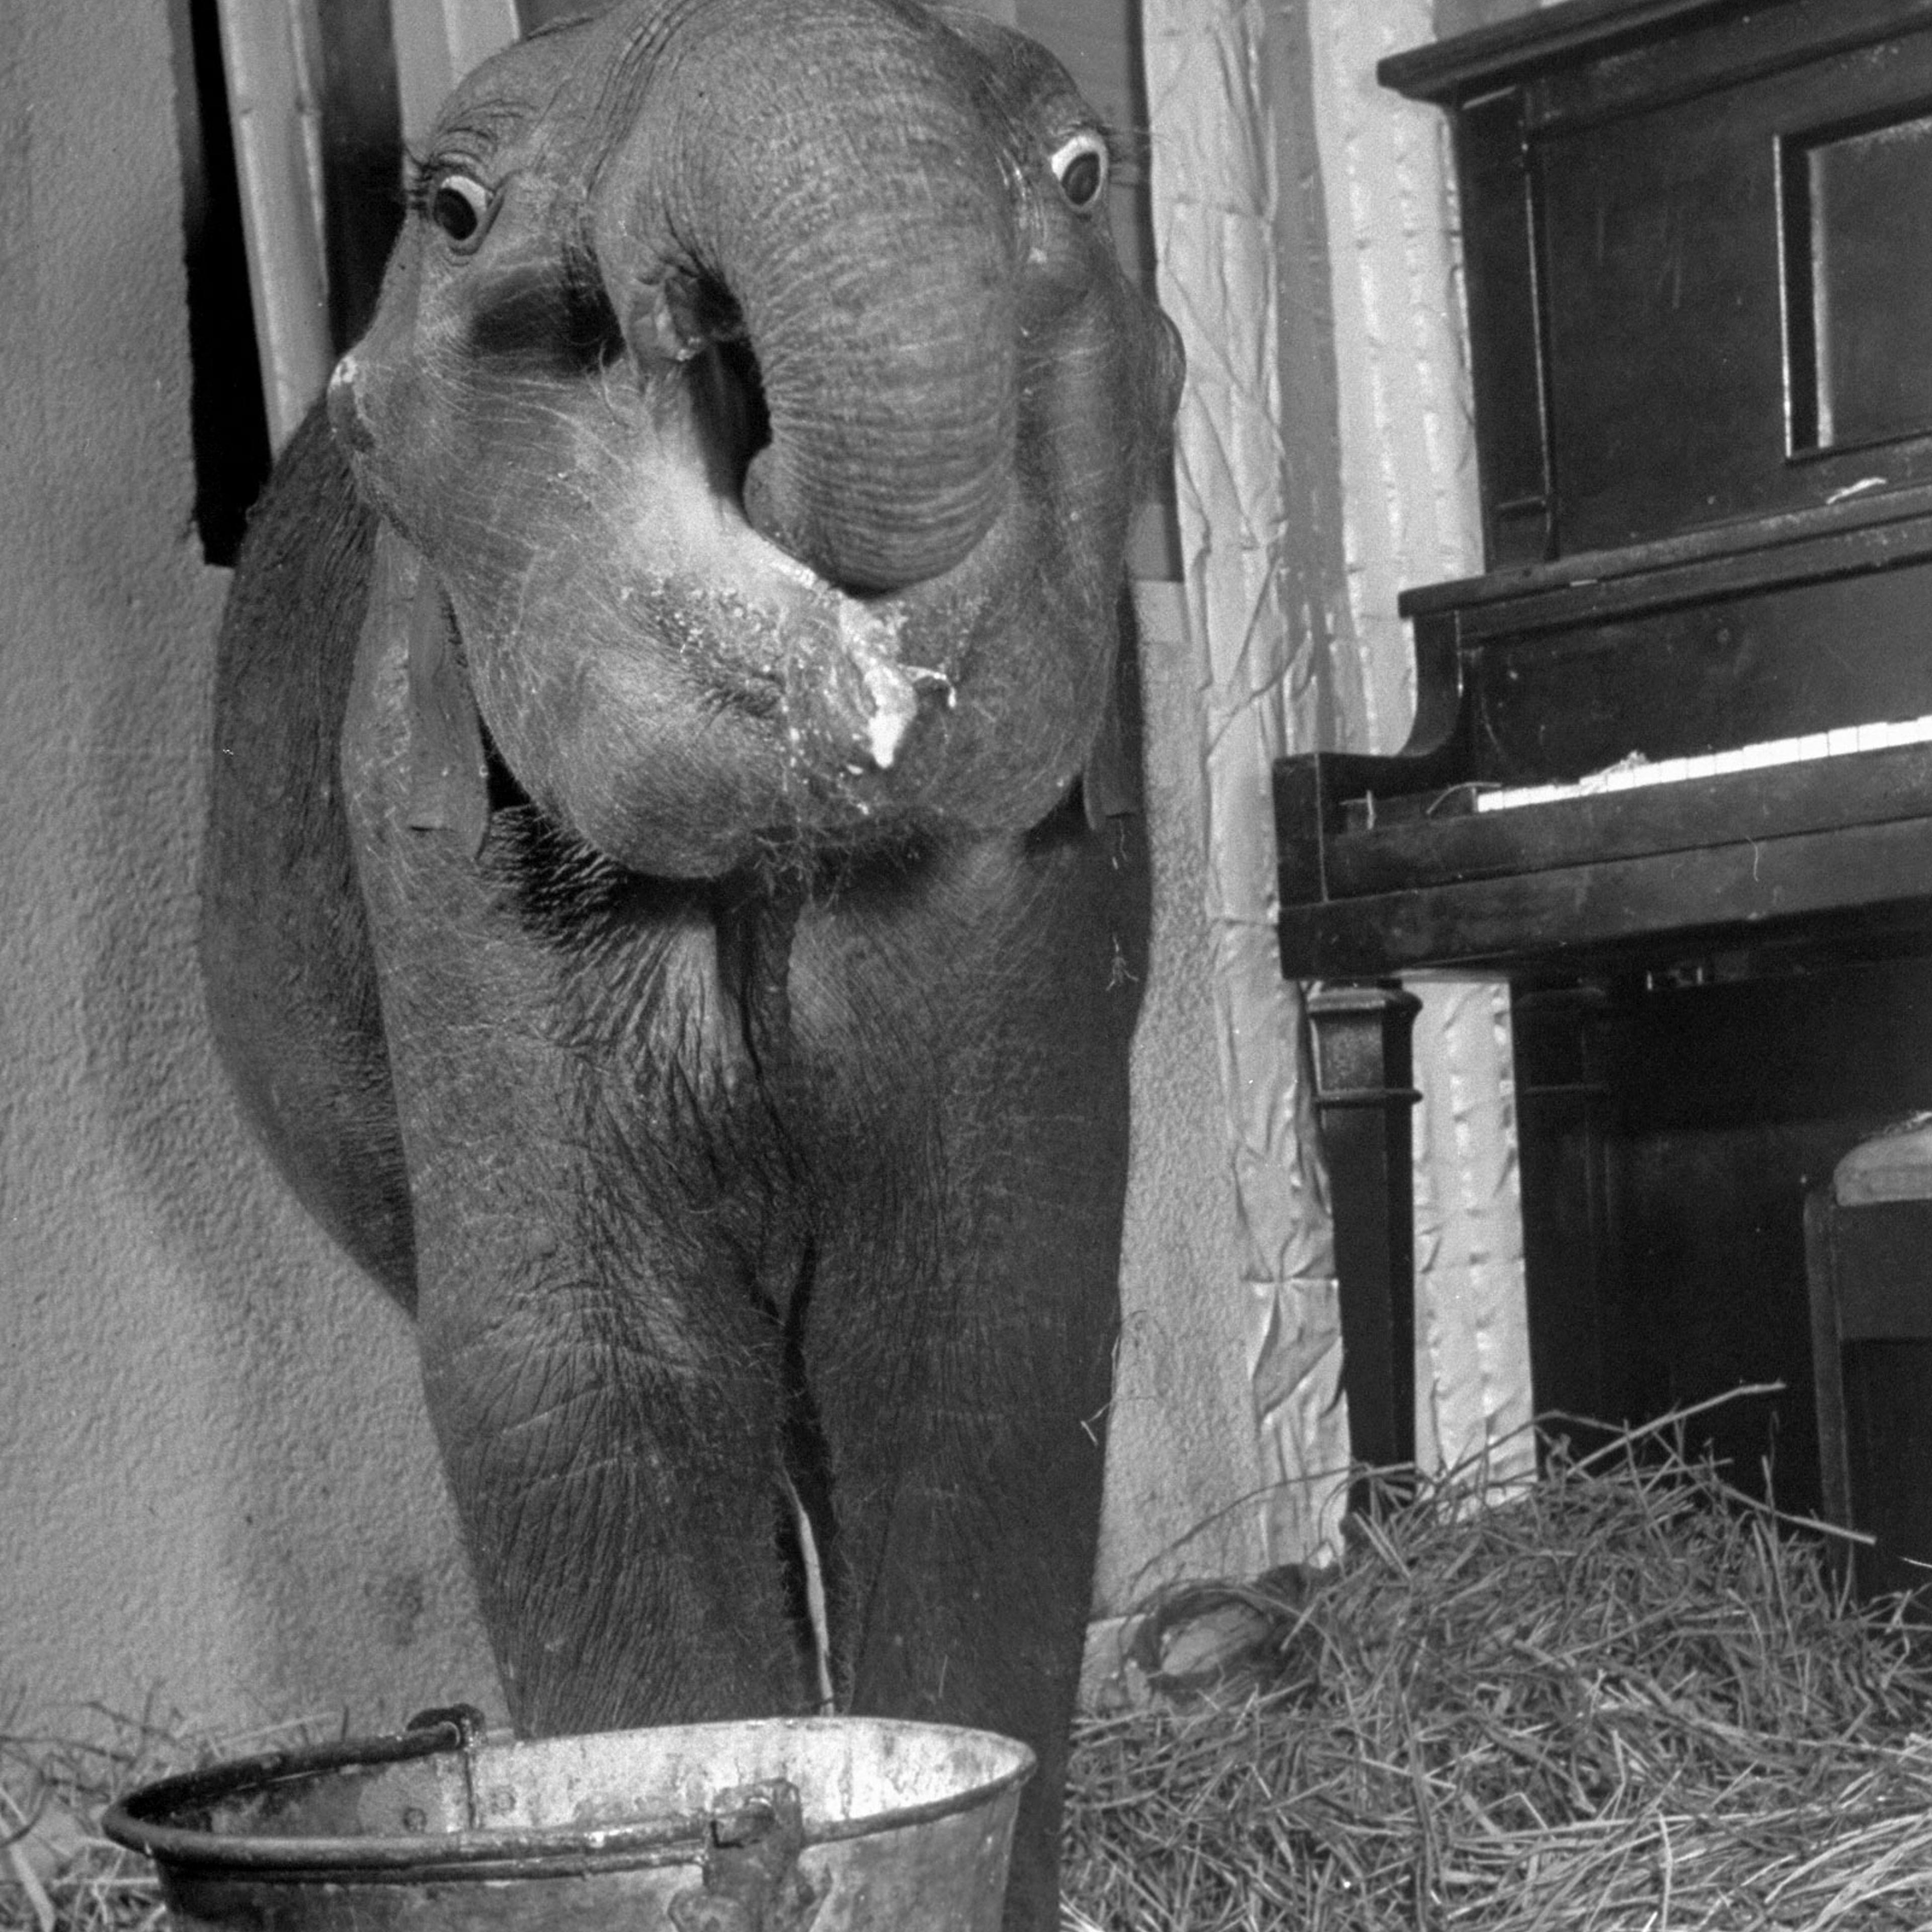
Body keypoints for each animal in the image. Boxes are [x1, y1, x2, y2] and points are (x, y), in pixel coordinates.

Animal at [199, 1, 1181, 1923]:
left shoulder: (1046, 869)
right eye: (452, 210)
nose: (679, 312)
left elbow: (974, 1334)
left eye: (1083, 171)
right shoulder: (436, 850)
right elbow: (591, 1383)